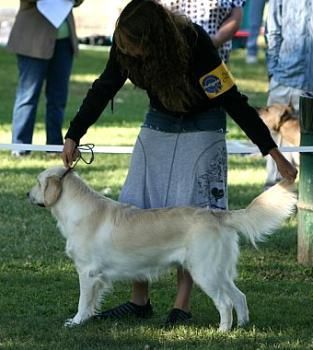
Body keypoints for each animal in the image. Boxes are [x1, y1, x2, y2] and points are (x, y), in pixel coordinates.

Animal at [28, 167, 296, 330]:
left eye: (38, 182)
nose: (27, 194)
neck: (78, 211)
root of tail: (216, 214)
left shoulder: (87, 272)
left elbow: (83, 301)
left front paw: (76, 322)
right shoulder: (98, 277)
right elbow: (92, 301)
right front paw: (89, 318)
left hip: (204, 272)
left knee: (225, 303)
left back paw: (222, 331)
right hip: (220, 271)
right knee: (239, 296)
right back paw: (241, 326)